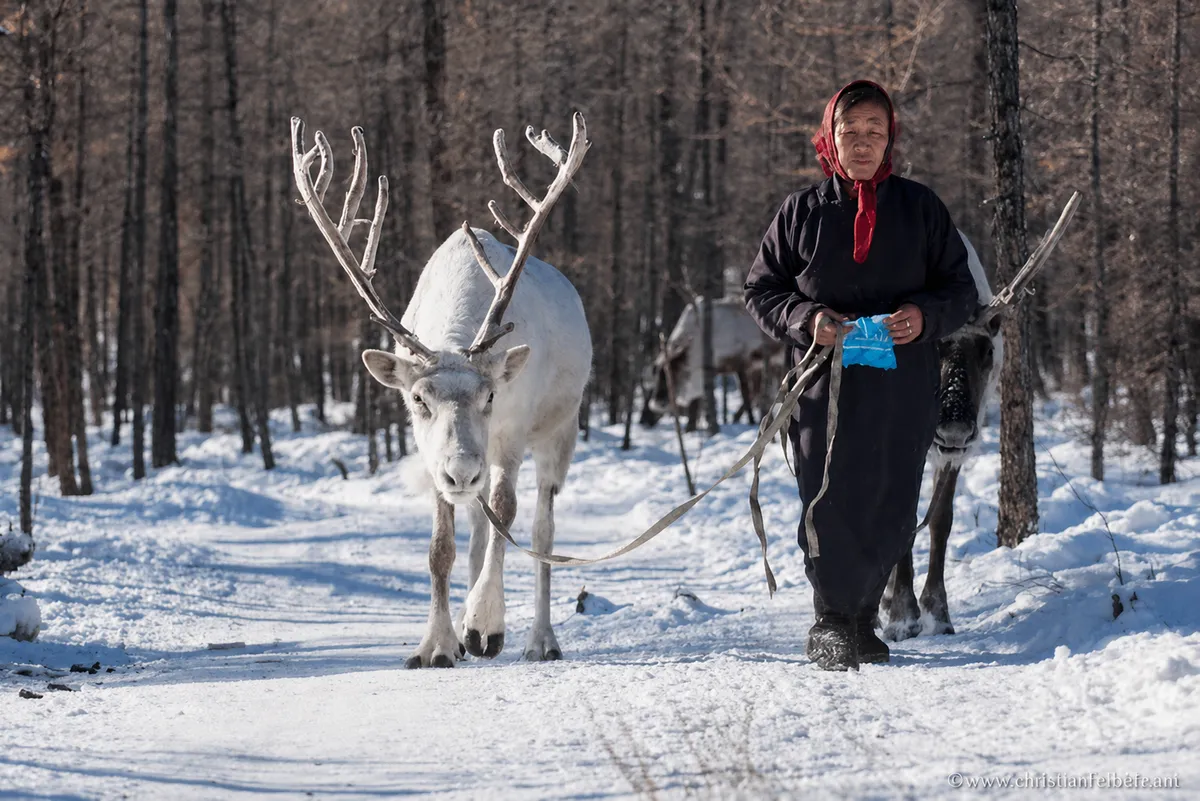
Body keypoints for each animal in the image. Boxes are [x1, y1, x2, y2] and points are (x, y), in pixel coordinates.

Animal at [291, 113, 593, 668]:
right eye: (417, 399)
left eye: (491, 395)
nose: (461, 471)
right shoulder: (431, 452)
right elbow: (440, 547)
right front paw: (438, 643)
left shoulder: (511, 433)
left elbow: (508, 514)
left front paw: (485, 622)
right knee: (477, 525)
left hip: (559, 429)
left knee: (541, 528)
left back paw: (539, 639)